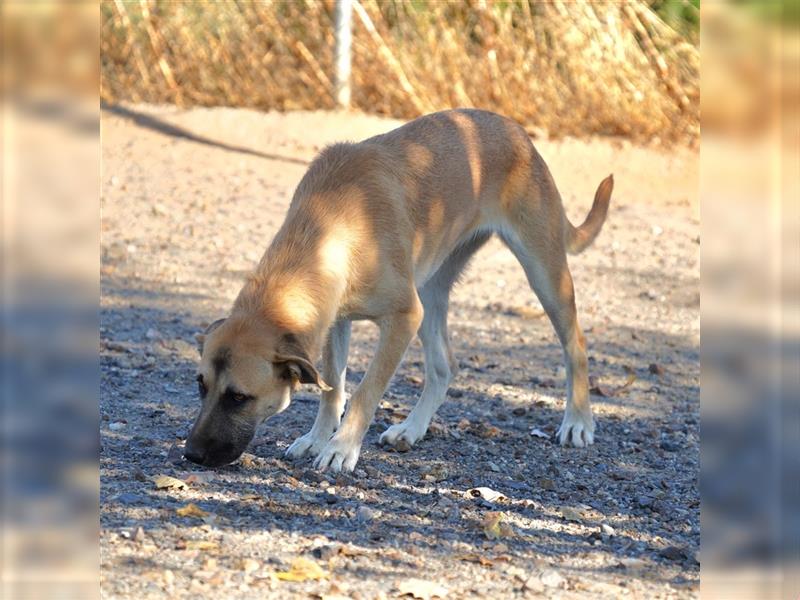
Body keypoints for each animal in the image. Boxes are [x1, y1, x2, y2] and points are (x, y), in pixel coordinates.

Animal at [186, 109, 612, 474]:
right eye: (201, 385)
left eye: (239, 397)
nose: (191, 454)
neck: (329, 224)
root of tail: (518, 131)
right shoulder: (335, 322)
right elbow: (332, 388)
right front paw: (318, 438)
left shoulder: (403, 317)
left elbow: (365, 391)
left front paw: (341, 448)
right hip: (431, 290)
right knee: (444, 366)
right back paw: (412, 429)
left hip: (543, 273)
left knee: (575, 344)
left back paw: (577, 422)